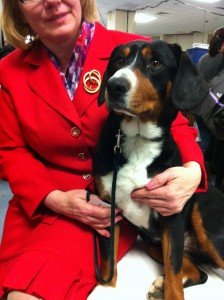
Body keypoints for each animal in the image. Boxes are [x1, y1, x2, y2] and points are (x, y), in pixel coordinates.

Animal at [92, 40, 224, 300]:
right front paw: (107, 290)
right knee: (200, 273)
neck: (138, 141)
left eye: (155, 63)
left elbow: (173, 271)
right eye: (119, 61)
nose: (114, 86)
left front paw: (170, 291)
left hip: (204, 222)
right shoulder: (106, 207)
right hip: (153, 244)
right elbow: (108, 260)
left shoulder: (172, 215)